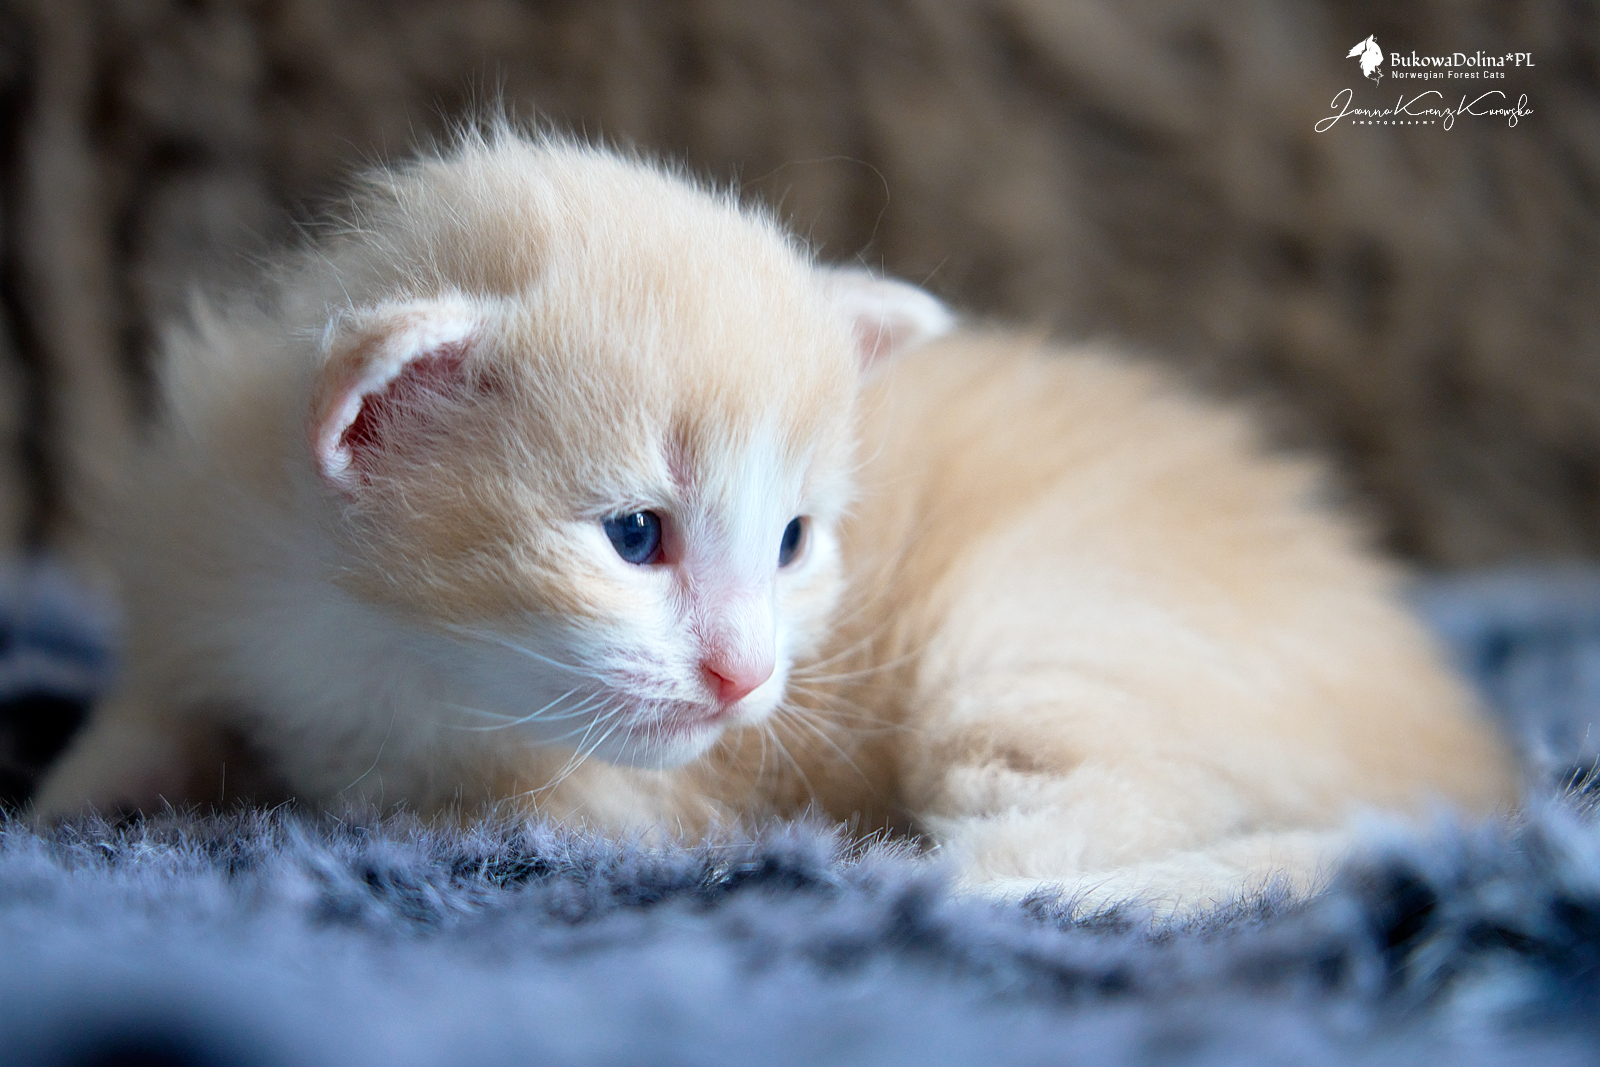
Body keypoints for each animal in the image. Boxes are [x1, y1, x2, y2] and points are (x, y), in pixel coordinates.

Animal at [32, 129, 1517, 909]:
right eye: (635, 535)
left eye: (794, 540)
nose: (746, 676)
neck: (374, 635)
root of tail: (1471, 762)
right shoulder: (195, 549)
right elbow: (147, 713)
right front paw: (66, 803)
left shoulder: (626, 795)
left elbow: (419, 806)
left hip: (1045, 633)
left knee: (1144, 802)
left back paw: (939, 874)